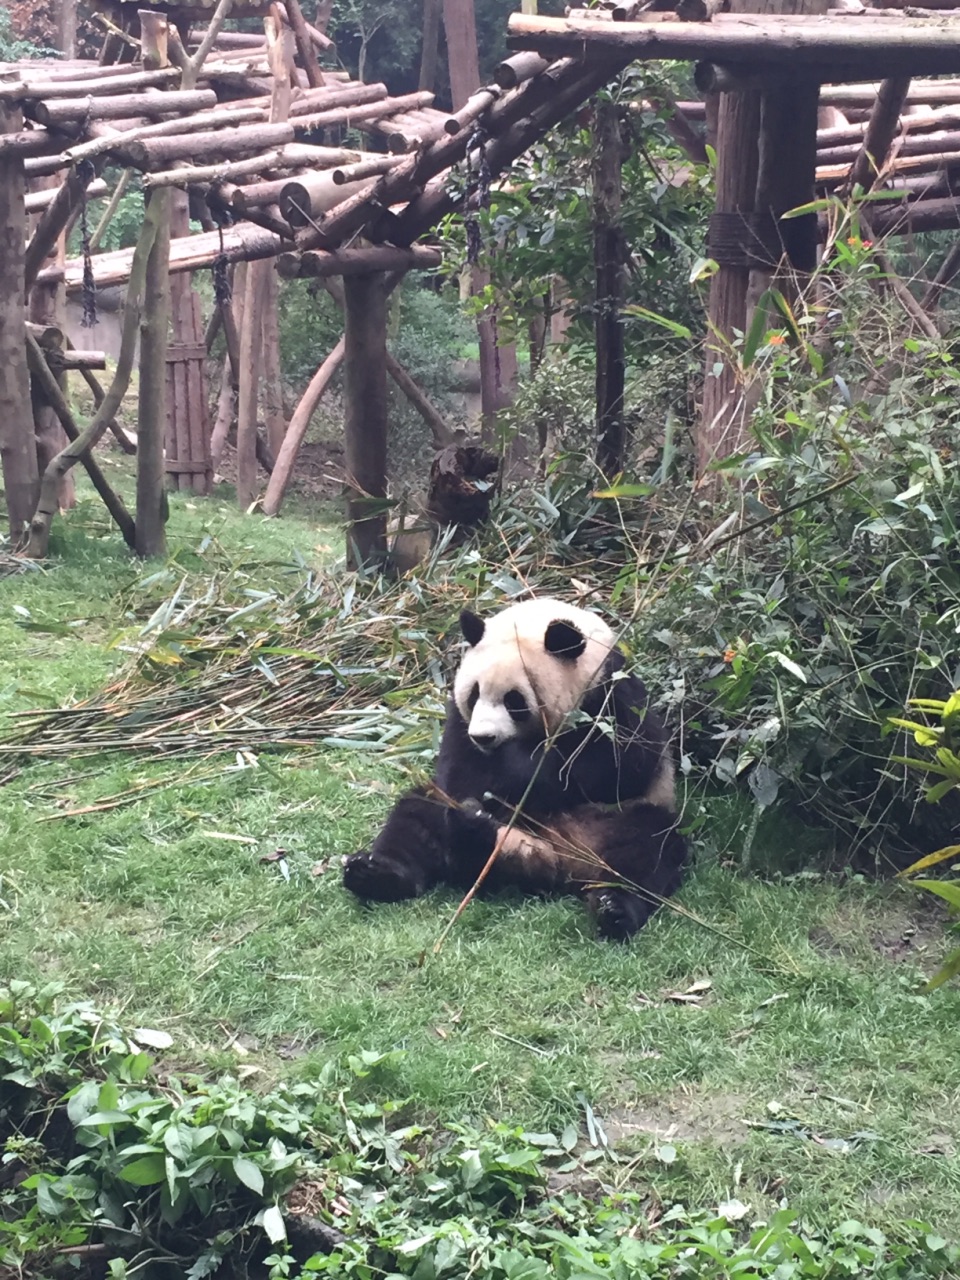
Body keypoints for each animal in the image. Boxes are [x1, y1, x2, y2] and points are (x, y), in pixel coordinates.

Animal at [343, 599, 686, 942]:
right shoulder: (459, 719)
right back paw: (384, 869)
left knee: (645, 849)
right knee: (417, 815)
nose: (483, 737)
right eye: (475, 694)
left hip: (613, 818)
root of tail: (554, 858)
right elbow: (458, 772)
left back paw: (614, 909)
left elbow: (623, 765)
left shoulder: (612, 694)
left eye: (514, 700)